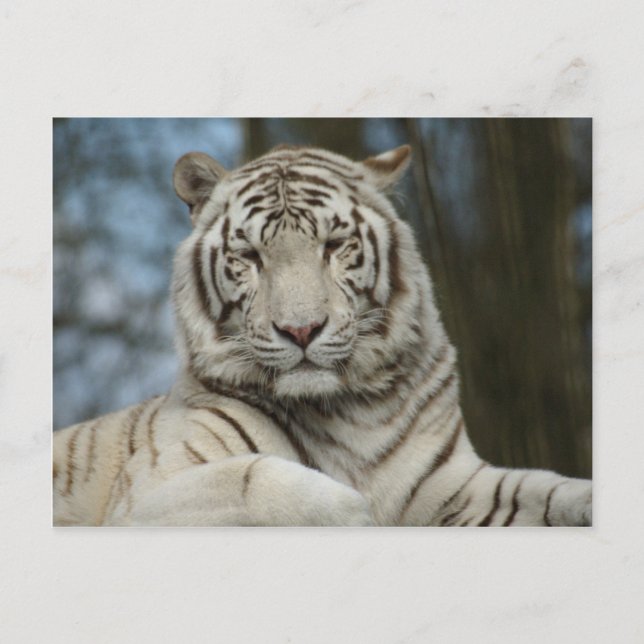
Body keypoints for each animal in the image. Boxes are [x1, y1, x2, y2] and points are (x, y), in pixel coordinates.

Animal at [53, 143, 592, 527]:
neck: (350, 410)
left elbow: (547, 493)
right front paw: (362, 513)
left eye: (334, 245)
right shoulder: (145, 494)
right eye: (249, 256)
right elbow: (260, 480)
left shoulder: (455, 486)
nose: (301, 329)